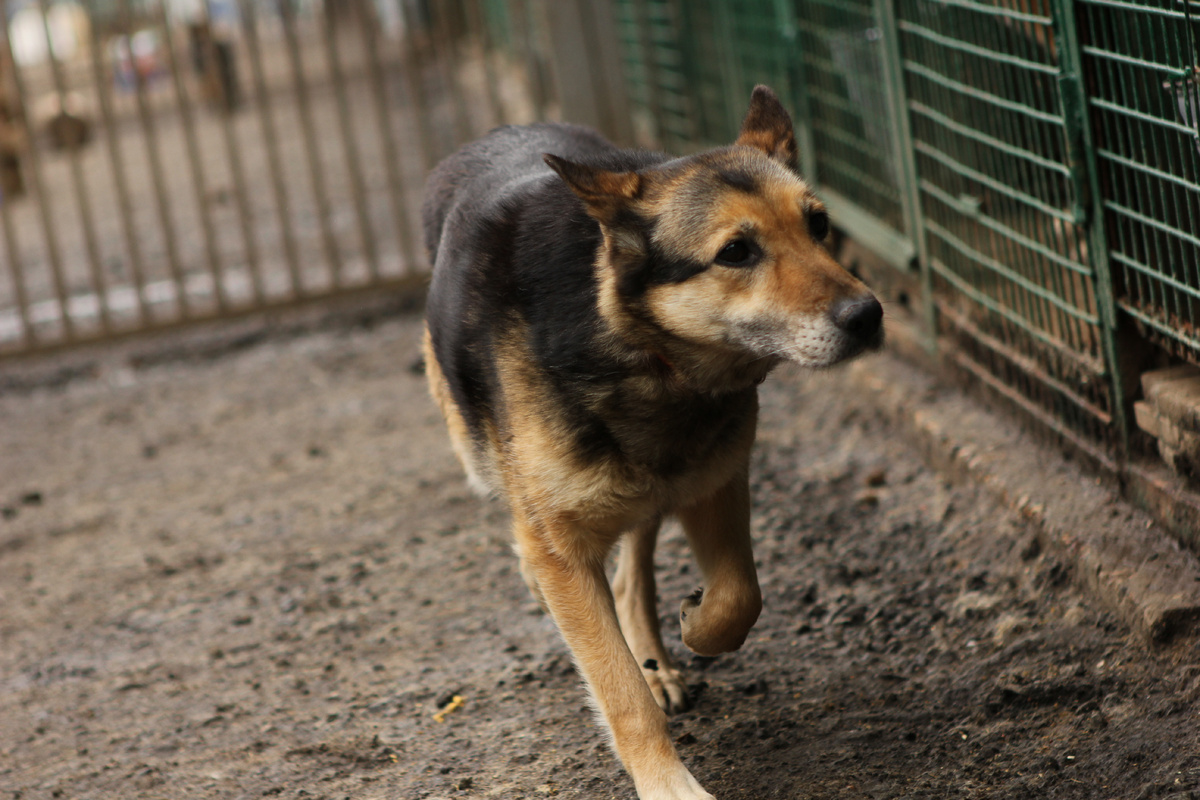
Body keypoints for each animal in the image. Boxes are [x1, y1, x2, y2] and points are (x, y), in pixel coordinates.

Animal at [420, 87, 883, 800]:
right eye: (736, 252)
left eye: (819, 224)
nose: (869, 317)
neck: (649, 359)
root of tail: (503, 130)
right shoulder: (563, 548)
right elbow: (619, 693)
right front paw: (671, 787)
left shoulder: (716, 481)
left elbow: (739, 593)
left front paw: (695, 624)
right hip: (484, 447)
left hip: (649, 490)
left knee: (632, 572)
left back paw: (656, 658)